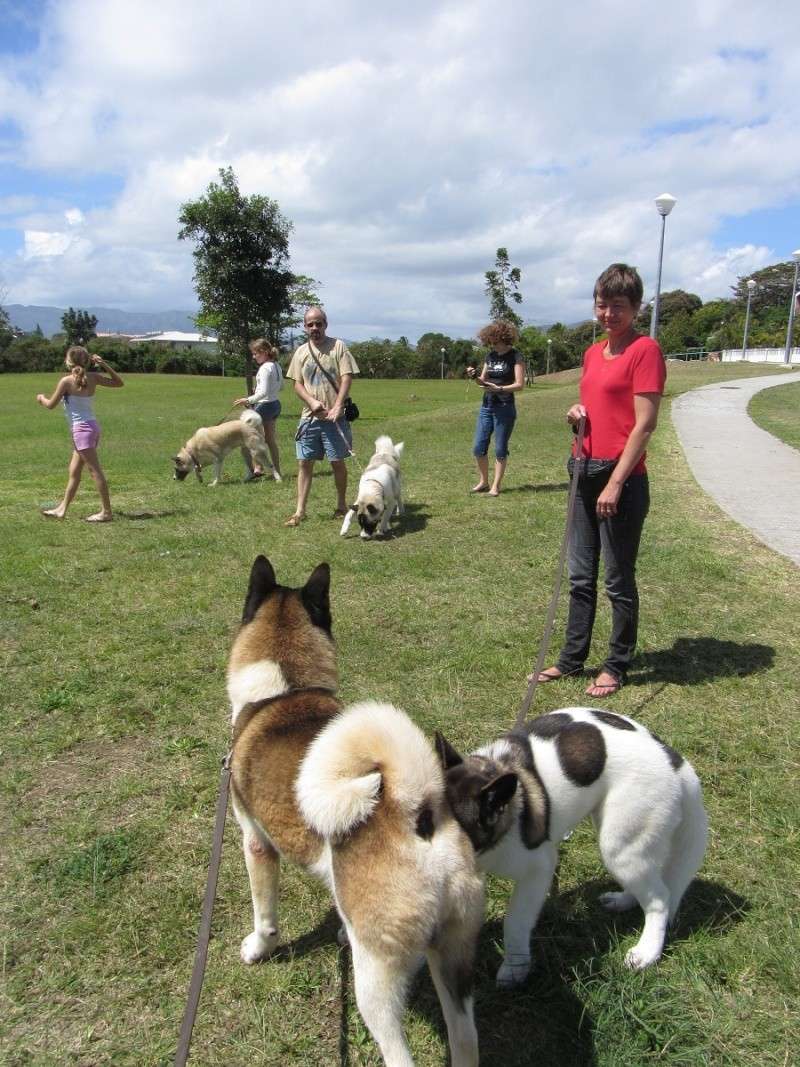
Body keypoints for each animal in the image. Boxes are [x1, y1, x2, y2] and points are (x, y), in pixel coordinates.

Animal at [228, 559, 486, 1067]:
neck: (284, 690)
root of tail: (416, 815)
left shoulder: (256, 841)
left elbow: (264, 913)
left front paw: (258, 948)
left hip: (377, 988)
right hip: (453, 955)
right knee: (466, 1040)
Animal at [439, 708, 708, 990]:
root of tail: (676, 763)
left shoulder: (538, 870)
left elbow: (516, 922)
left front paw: (515, 968)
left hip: (620, 844)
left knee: (660, 897)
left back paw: (647, 951)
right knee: (647, 882)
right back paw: (622, 900)